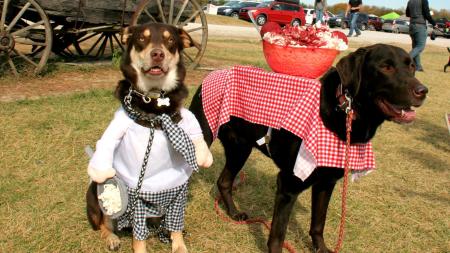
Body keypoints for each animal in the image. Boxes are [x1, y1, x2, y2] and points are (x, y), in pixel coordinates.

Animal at [86, 23, 213, 253]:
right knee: (103, 223)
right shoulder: (136, 196)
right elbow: (139, 237)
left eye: (170, 40)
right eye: (141, 39)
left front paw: (178, 245)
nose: (157, 54)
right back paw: (112, 238)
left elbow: (176, 225)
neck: (155, 100)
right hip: (100, 195)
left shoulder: (179, 193)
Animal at [190, 44, 428, 252]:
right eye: (386, 67)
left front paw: (321, 249)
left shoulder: (326, 183)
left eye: (411, 66)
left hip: (240, 148)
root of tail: (212, 75)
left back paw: (233, 213)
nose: (423, 91)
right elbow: (277, 236)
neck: (343, 112)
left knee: (224, 181)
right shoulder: (288, 185)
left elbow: (318, 224)